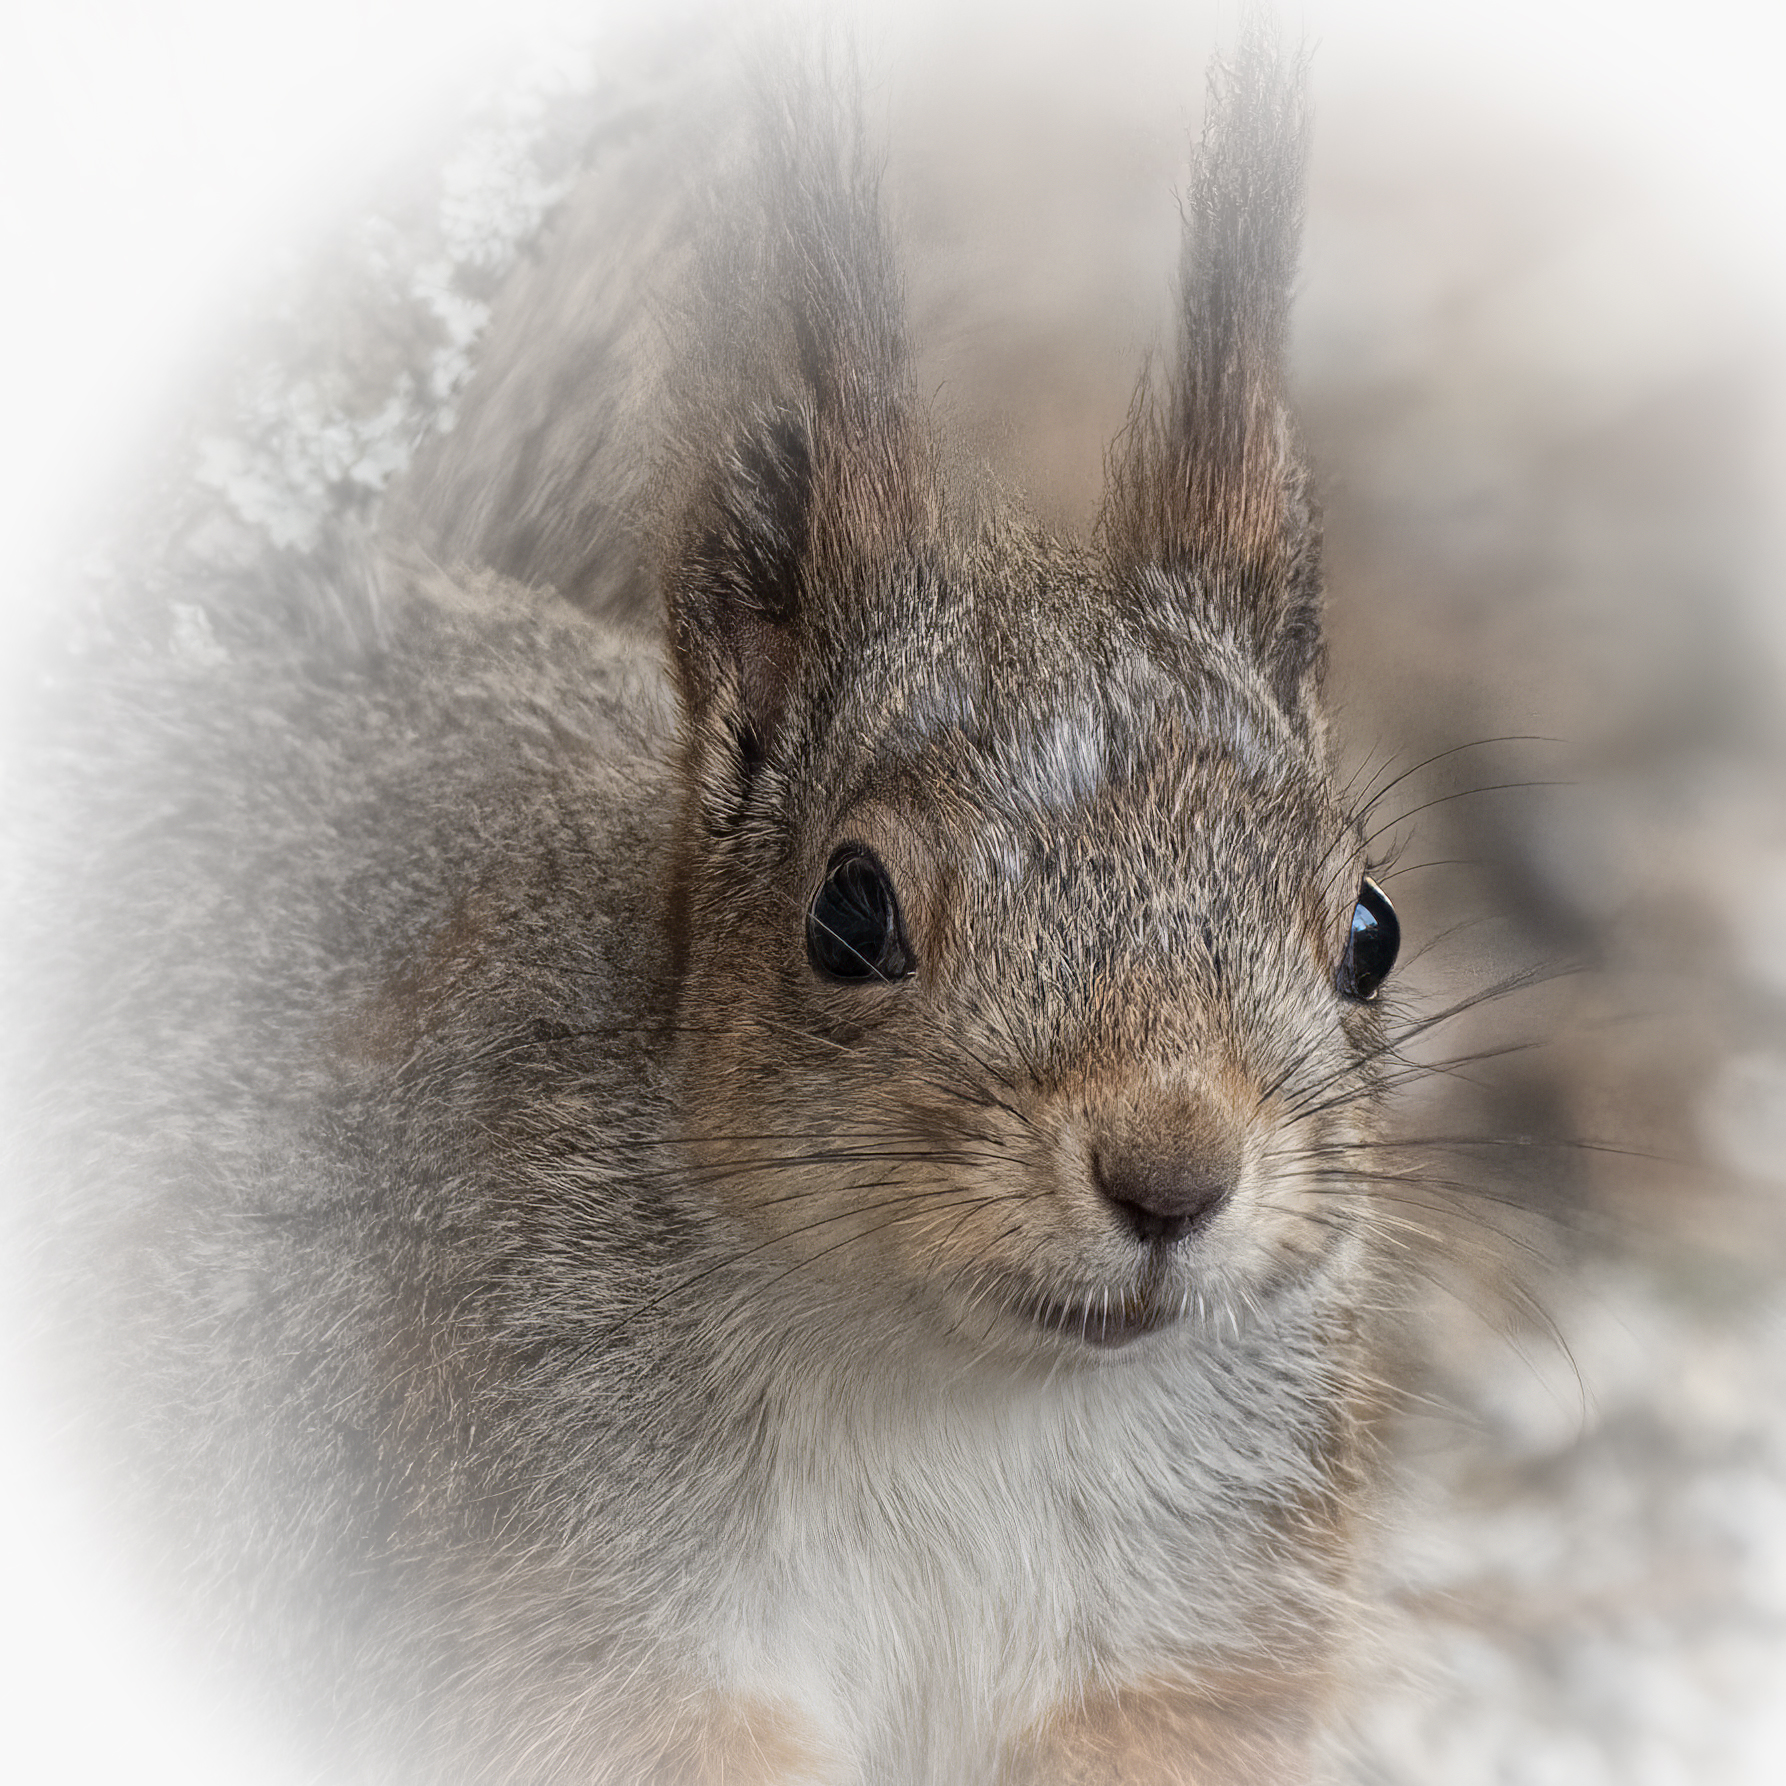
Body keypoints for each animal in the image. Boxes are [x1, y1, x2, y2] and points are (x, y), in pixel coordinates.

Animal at [3, 22, 1411, 1786]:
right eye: (852, 913)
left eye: (1367, 930)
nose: (1172, 1174)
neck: (960, 1387)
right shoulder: (576, 1583)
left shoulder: (1185, 1642)